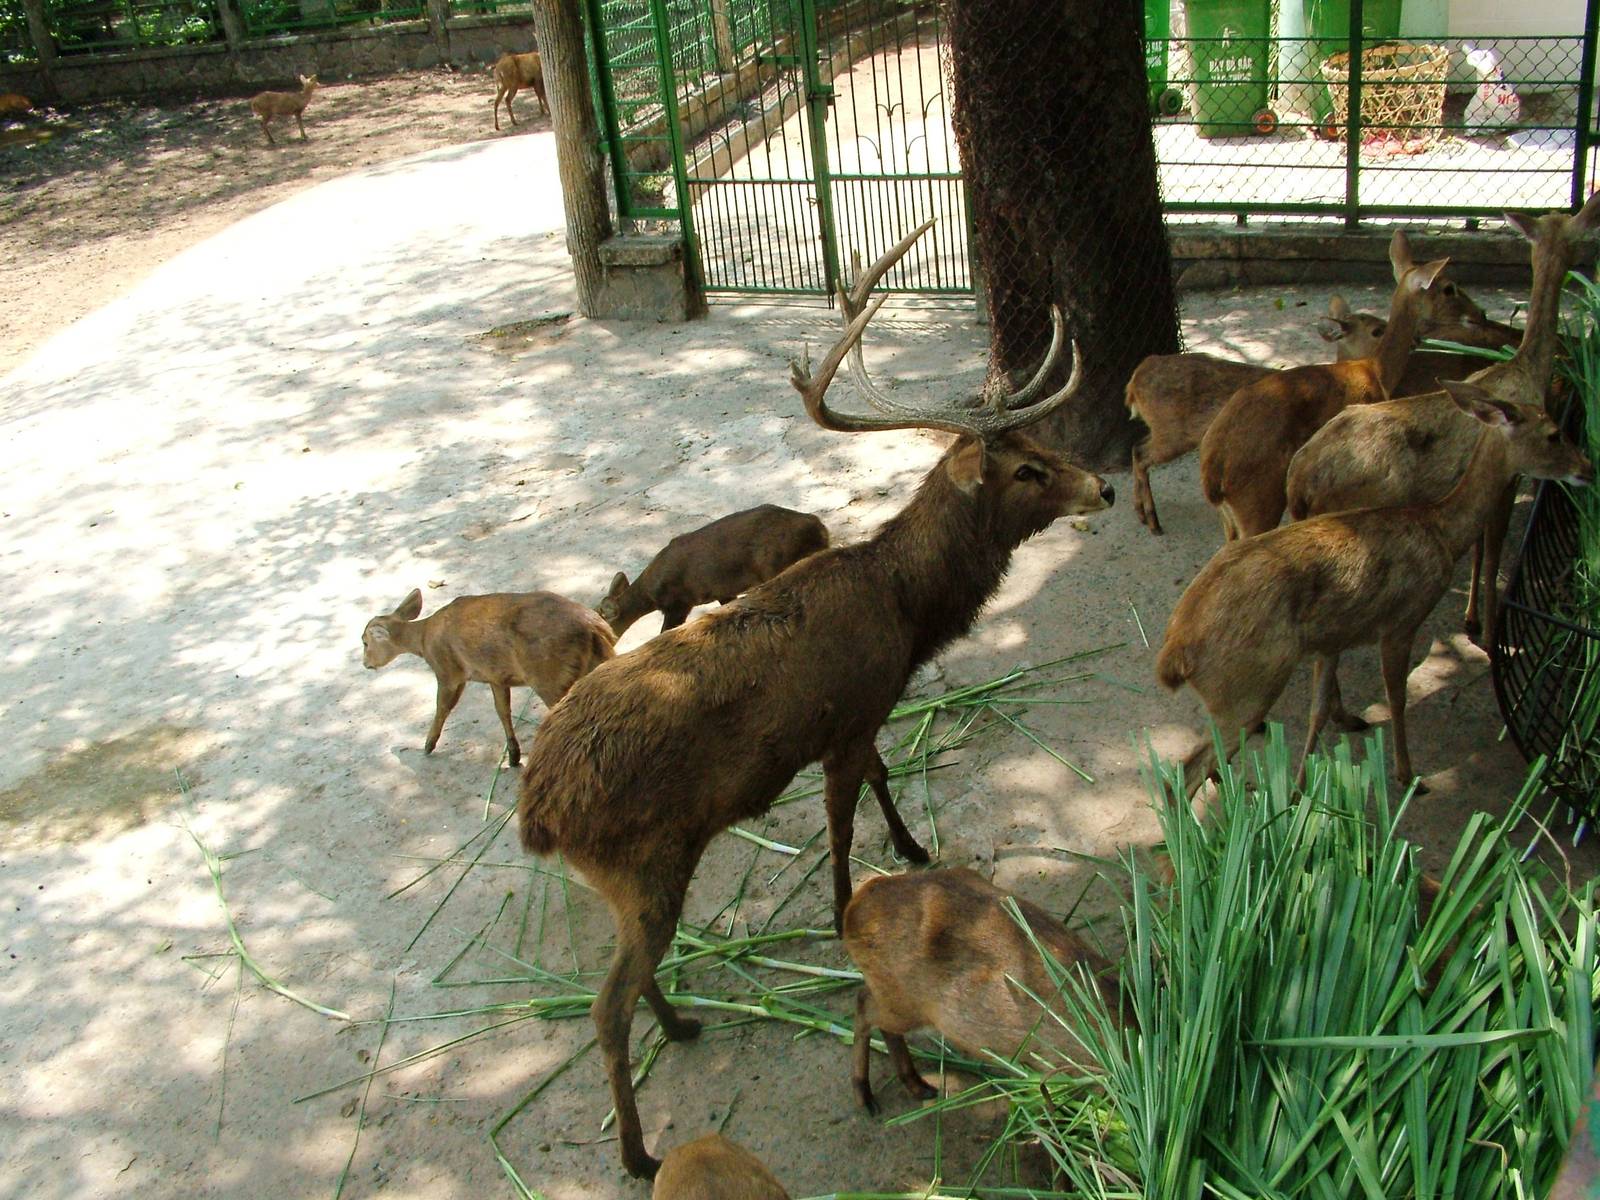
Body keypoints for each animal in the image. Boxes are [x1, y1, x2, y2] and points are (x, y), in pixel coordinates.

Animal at [361, 588, 614, 767]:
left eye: (364, 641)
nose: (366, 664)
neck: (424, 641)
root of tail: (597, 629)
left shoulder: (448, 672)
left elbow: (442, 707)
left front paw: (427, 745)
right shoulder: (496, 676)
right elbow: (502, 710)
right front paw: (513, 756)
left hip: (550, 677)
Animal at [598, 505, 829, 638]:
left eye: (603, 621)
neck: (650, 592)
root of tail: (819, 526)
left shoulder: (678, 603)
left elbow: (664, 631)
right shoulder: (722, 591)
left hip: (774, 564)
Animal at [1157, 380, 1592, 803]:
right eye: (1554, 433)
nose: (1585, 468)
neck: (1441, 532)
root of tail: (1175, 654)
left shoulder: (1333, 639)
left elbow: (1318, 709)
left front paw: (1299, 790)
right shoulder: (1402, 620)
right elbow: (1397, 697)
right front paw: (1409, 775)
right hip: (1246, 689)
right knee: (1184, 777)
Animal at [1196, 231, 1451, 541]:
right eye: (1443, 287)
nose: (1418, 340)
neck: (1376, 371)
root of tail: (1213, 476)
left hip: (1230, 517)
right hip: (1258, 498)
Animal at [1287, 195, 1600, 648]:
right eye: (1579, 241)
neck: (1528, 373)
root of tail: (1300, 480)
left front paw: (1472, 619)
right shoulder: (1513, 477)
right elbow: (1492, 551)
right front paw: (1487, 631)